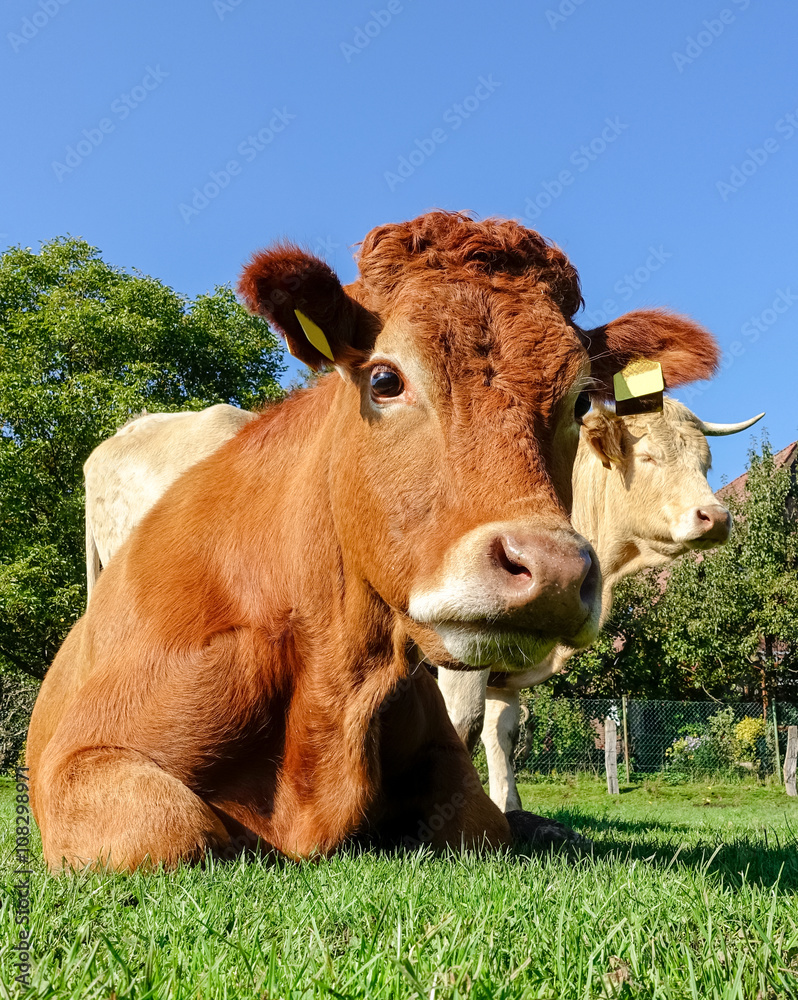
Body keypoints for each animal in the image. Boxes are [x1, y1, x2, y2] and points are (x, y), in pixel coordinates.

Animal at [438, 399, 764, 812]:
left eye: (705, 463)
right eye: (648, 456)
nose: (717, 518)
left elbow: (502, 735)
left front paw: (509, 809)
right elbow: (462, 723)